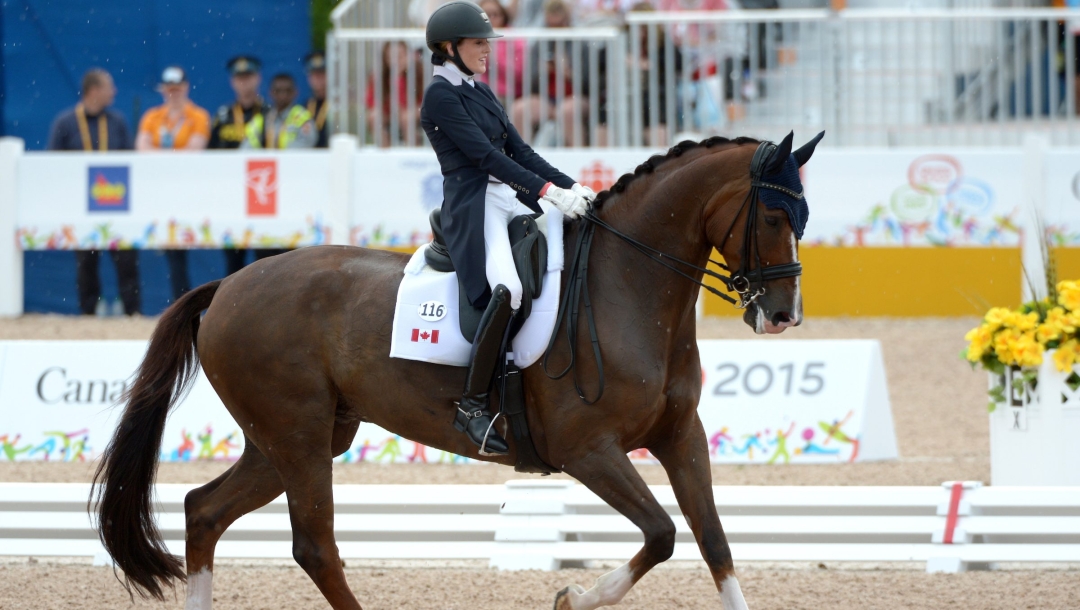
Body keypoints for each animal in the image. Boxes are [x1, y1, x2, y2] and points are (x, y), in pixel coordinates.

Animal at [95, 133, 816, 608]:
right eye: (773, 214)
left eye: (802, 217)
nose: (784, 315)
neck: (626, 287)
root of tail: (227, 286)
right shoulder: (588, 450)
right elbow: (664, 534)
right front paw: (572, 596)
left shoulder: (680, 436)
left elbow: (714, 541)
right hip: (295, 434)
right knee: (314, 545)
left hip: (295, 437)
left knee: (204, 511)